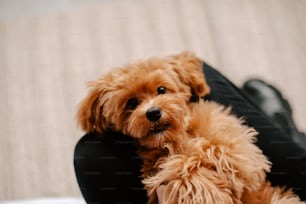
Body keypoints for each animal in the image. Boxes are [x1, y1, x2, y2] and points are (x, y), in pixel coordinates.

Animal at [77, 51, 304, 203]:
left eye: (161, 90)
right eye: (131, 103)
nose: (153, 113)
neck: (178, 135)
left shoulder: (234, 142)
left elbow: (205, 151)